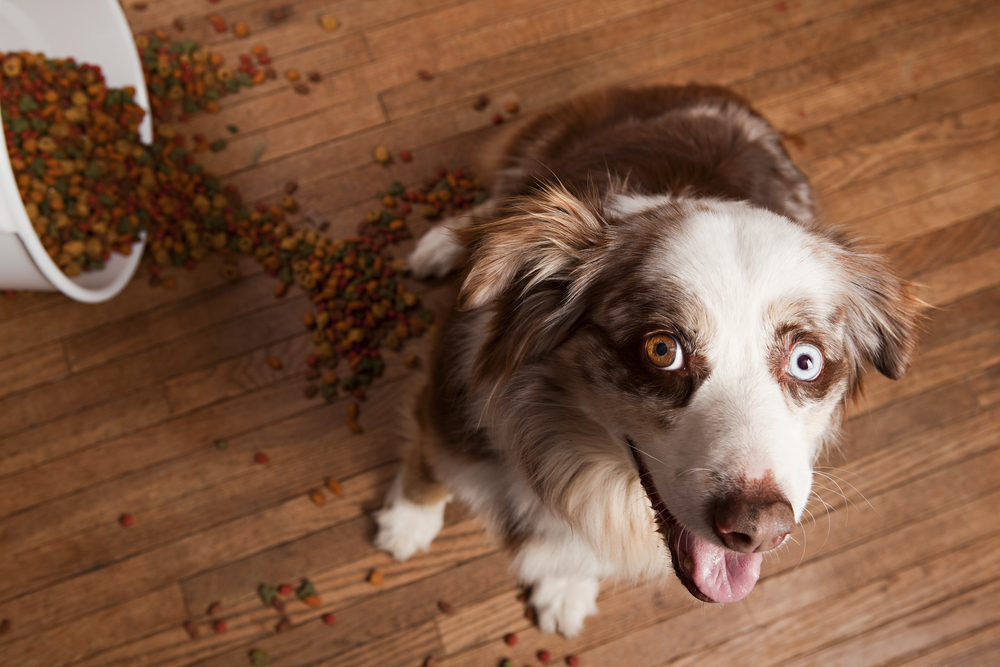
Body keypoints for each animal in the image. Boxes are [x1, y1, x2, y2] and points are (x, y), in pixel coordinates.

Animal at [372, 85, 916, 636]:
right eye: (662, 350)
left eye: (806, 362)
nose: (760, 529)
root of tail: (714, 92)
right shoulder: (450, 402)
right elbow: (428, 470)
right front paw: (407, 523)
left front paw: (565, 588)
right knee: (501, 205)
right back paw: (445, 243)